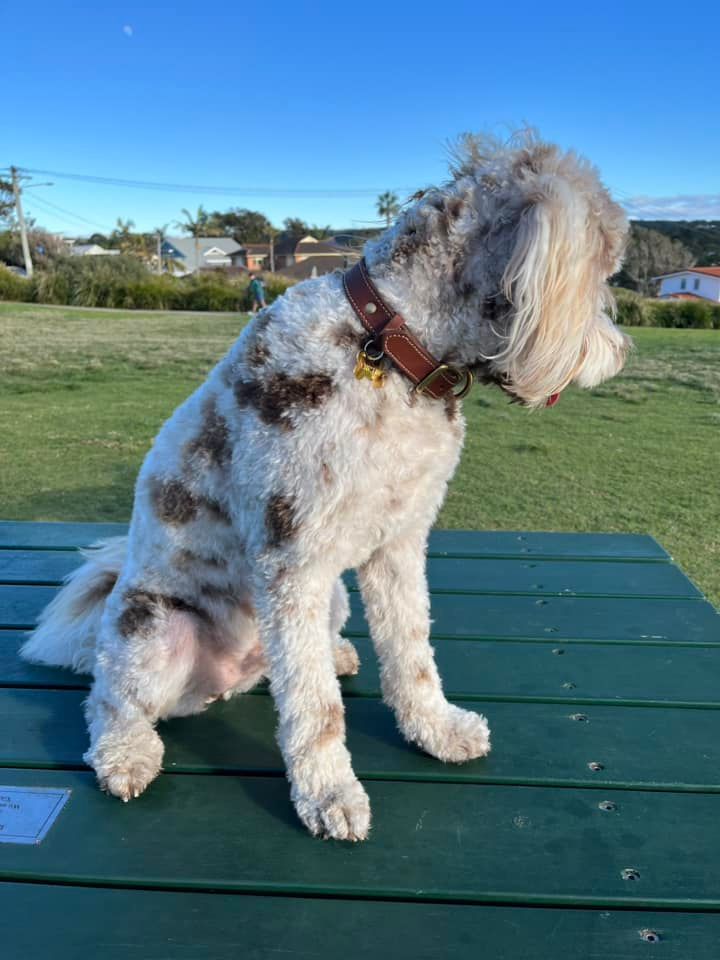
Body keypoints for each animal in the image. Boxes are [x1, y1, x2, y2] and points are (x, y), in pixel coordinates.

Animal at [22, 133, 632, 840]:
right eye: (603, 273)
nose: (622, 353)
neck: (388, 344)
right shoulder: (294, 559)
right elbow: (315, 711)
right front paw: (330, 795)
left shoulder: (398, 541)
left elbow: (412, 652)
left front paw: (437, 730)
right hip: (153, 636)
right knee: (109, 700)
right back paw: (127, 756)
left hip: (331, 600)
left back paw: (335, 654)